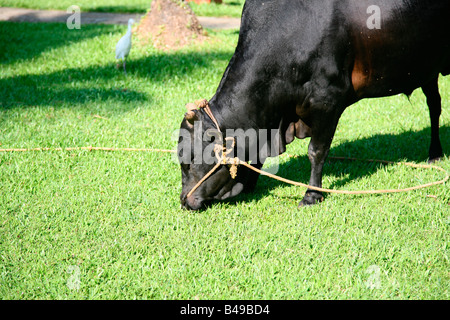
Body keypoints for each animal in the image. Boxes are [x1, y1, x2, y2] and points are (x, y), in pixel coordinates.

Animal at [178, 0, 448, 210]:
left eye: (189, 160)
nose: (184, 201)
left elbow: (316, 151)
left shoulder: (328, 101)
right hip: (428, 71)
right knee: (434, 105)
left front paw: (312, 195)